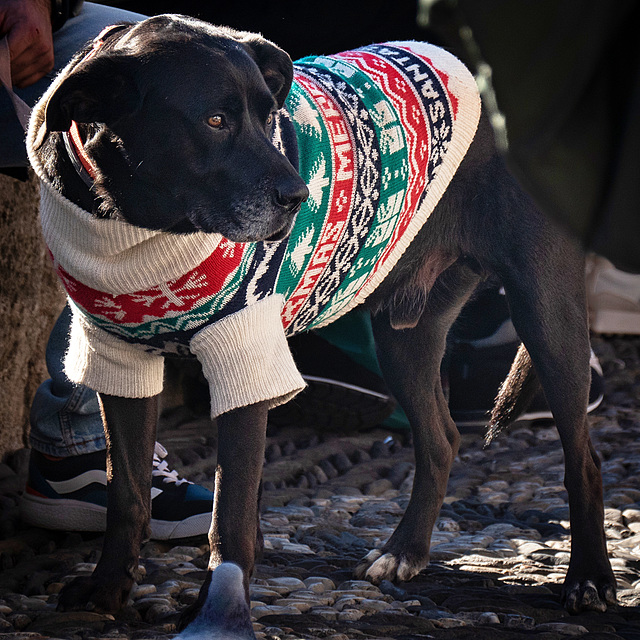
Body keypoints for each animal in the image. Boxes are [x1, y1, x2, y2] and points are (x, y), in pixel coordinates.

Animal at [28, 12, 616, 632]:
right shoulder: (119, 359)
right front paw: (106, 590)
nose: (298, 195)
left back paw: (589, 580)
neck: (138, 224)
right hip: (405, 341)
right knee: (441, 440)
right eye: (215, 121)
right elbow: (126, 494)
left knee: (584, 460)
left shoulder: (244, 358)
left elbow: (230, 516)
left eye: (269, 117)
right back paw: (404, 553)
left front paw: (217, 610)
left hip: (544, 314)